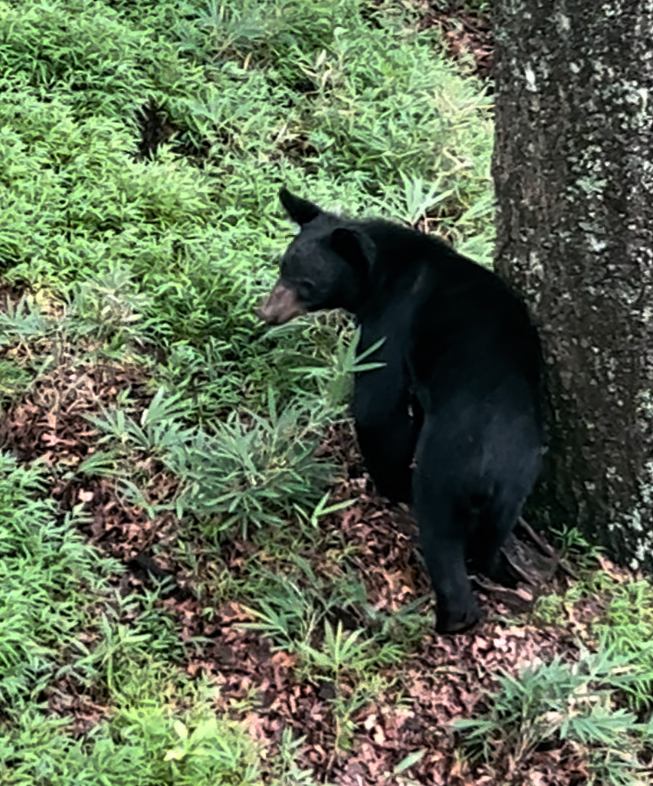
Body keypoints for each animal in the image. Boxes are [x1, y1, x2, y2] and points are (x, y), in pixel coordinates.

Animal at [258, 188, 544, 634]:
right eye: (282, 267)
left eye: (306, 283)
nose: (266, 313)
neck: (383, 274)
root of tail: (491, 468)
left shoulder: (394, 318)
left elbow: (378, 404)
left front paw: (387, 480)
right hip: (515, 490)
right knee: (489, 539)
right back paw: (497, 569)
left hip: (446, 475)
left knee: (441, 535)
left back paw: (452, 615)